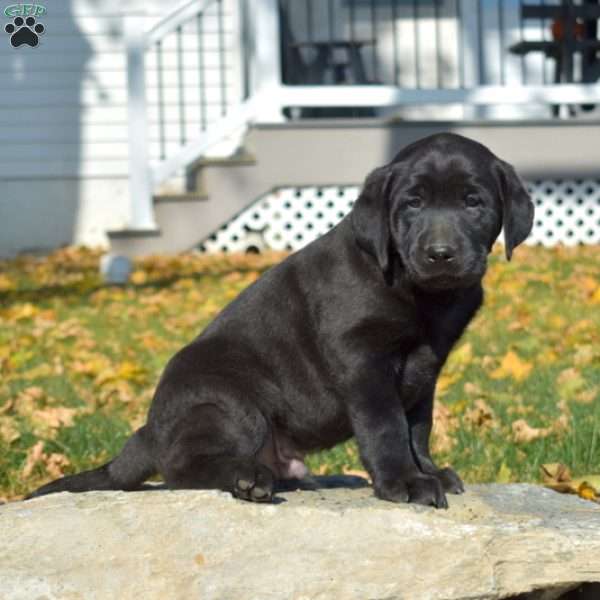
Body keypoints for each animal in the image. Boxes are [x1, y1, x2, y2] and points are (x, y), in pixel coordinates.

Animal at [28, 134, 536, 508]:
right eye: (412, 204)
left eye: (473, 202)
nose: (440, 254)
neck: (423, 295)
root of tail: (149, 432)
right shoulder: (363, 360)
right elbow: (387, 426)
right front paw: (403, 482)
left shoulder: (425, 367)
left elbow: (418, 427)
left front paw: (428, 471)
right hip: (230, 402)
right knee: (184, 467)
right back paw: (248, 478)